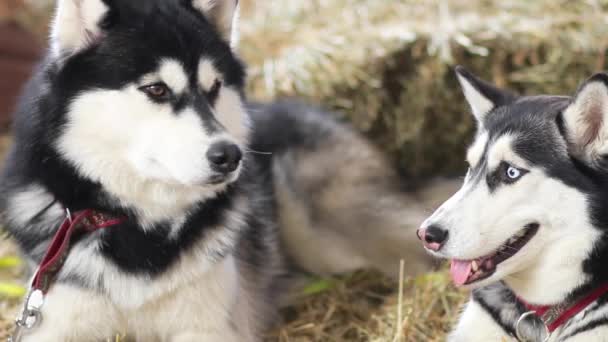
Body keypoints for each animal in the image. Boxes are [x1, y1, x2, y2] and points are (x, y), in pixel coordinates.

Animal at [1, 1, 436, 340]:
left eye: (214, 87)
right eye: (157, 89)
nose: (230, 155)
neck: (139, 226)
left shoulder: (208, 326)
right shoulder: (52, 320)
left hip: (327, 230)